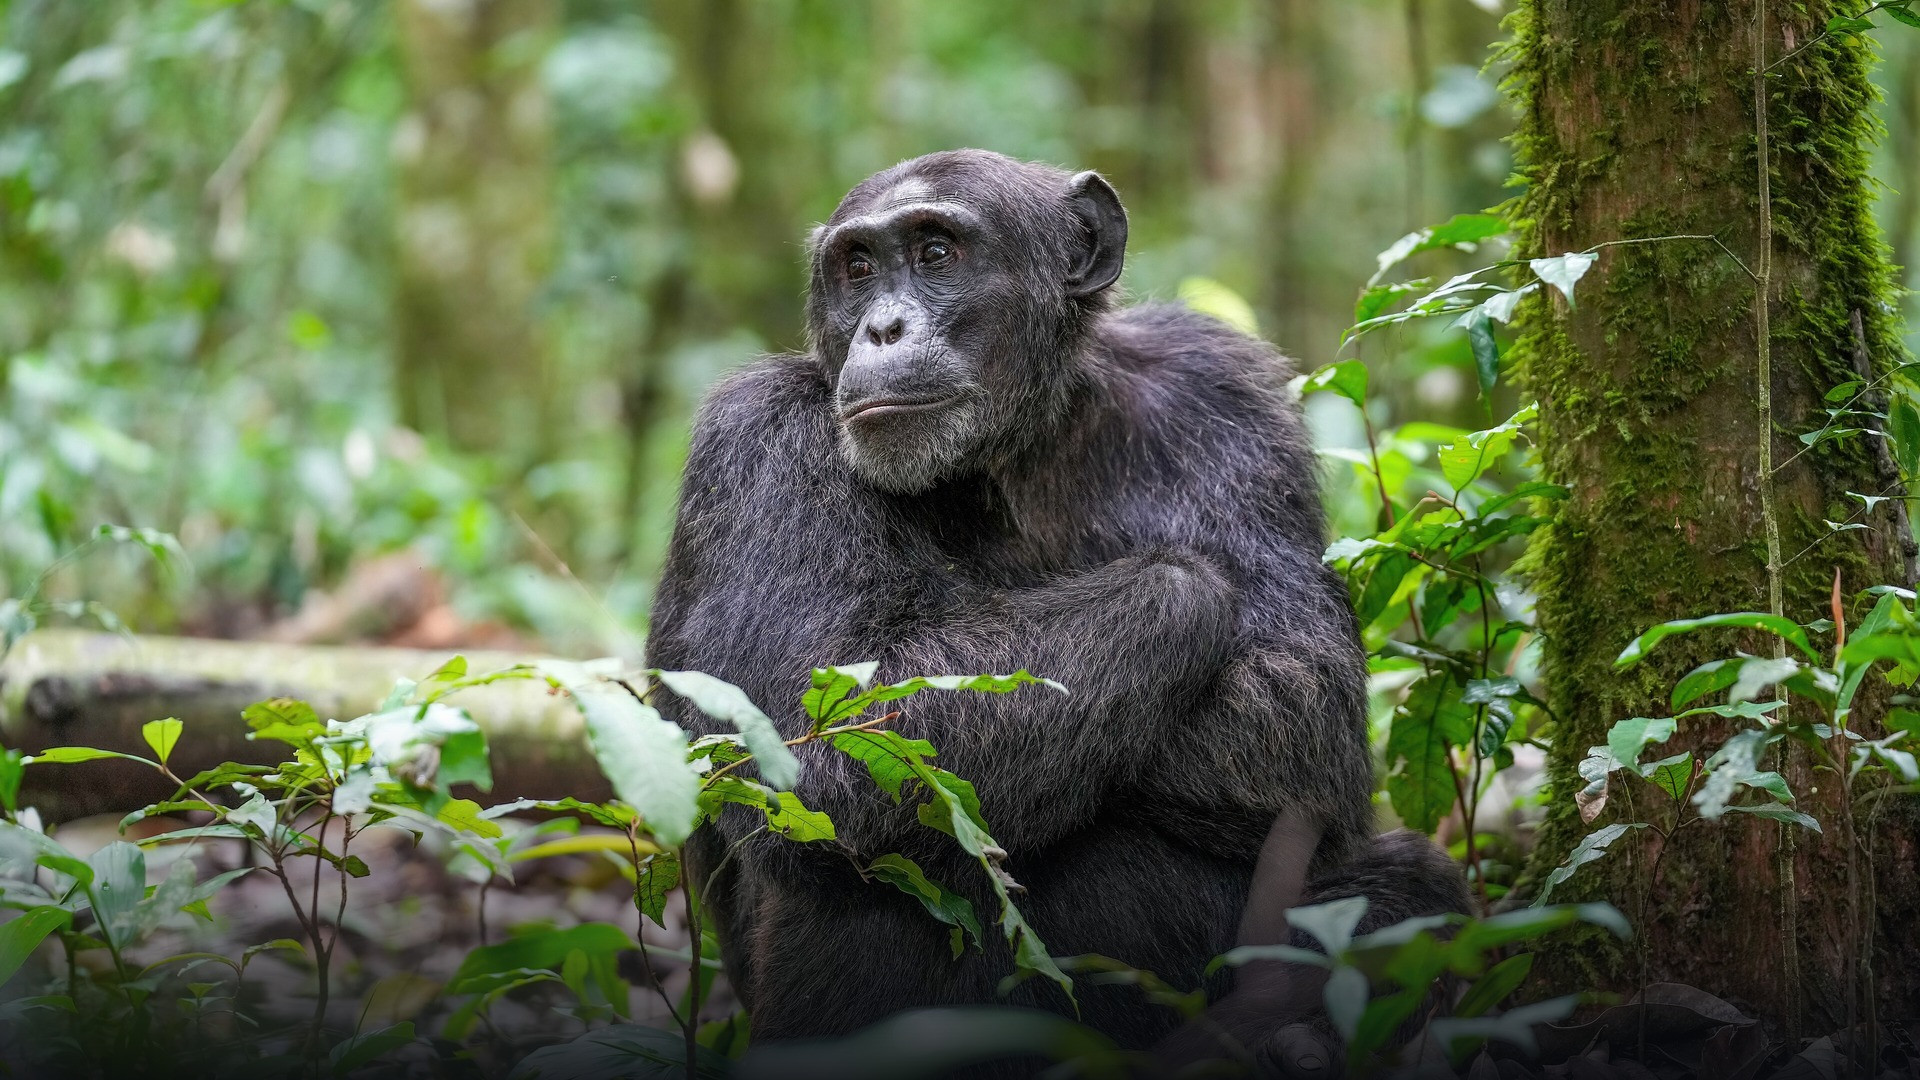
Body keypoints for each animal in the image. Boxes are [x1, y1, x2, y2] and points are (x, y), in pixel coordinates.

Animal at [645, 149, 1467, 1075]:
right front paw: (1184, 588)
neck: (1014, 448)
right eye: (856, 268)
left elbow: (1299, 691)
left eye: (936, 253)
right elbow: (808, 733)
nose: (881, 327)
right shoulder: (756, 436)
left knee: (1413, 890)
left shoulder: (1223, 395)